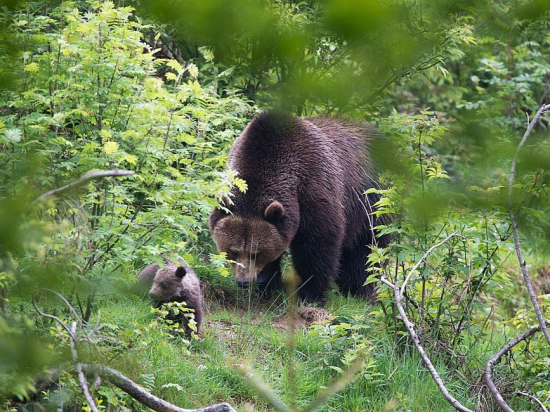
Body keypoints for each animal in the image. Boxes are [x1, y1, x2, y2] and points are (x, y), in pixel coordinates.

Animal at [209, 111, 390, 304]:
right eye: (233, 251)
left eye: (256, 253)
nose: (243, 281)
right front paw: (264, 287)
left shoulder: (316, 188)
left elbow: (316, 247)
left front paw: (309, 294)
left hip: (371, 203)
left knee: (368, 250)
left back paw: (359, 292)